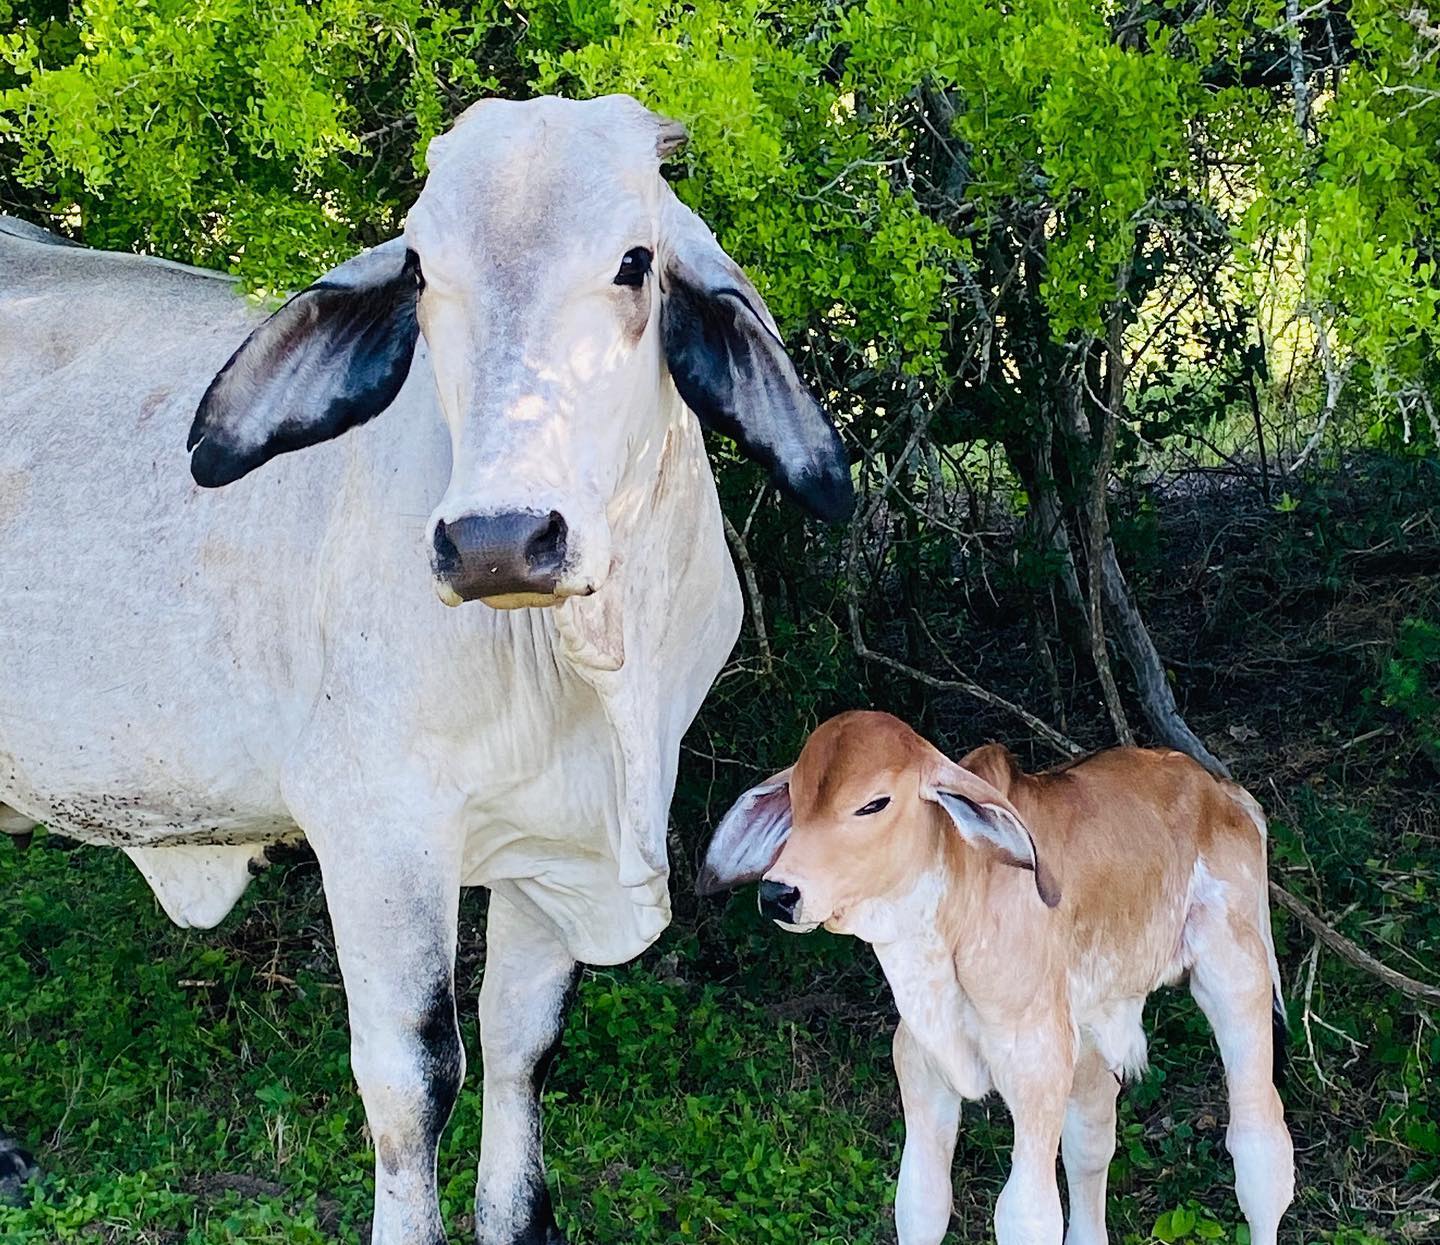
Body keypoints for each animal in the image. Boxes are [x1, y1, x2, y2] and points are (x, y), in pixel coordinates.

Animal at [0, 93, 851, 1243]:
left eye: (634, 262)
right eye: (420, 271)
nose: (497, 540)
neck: (591, 671)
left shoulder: (552, 847)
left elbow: (522, 1044)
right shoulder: (376, 832)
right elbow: (416, 1079)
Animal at [699, 710, 1294, 1245]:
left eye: (874, 803)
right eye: (796, 800)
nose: (779, 892)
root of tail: (1221, 789)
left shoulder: (1035, 1071)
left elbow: (1026, 1216)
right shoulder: (923, 1071)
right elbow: (921, 1204)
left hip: (1236, 977)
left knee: (1259, 1145)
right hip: (1092, 1034)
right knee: (1091, 1145)